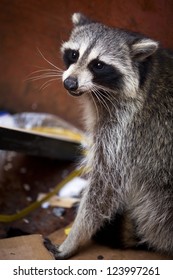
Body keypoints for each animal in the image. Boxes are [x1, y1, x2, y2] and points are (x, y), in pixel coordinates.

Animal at [53, 12, 173, 258]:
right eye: (74, 54)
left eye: (98, 65)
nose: (69, 83)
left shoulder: (127, 130)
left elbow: (105, 184)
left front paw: (74, 238)